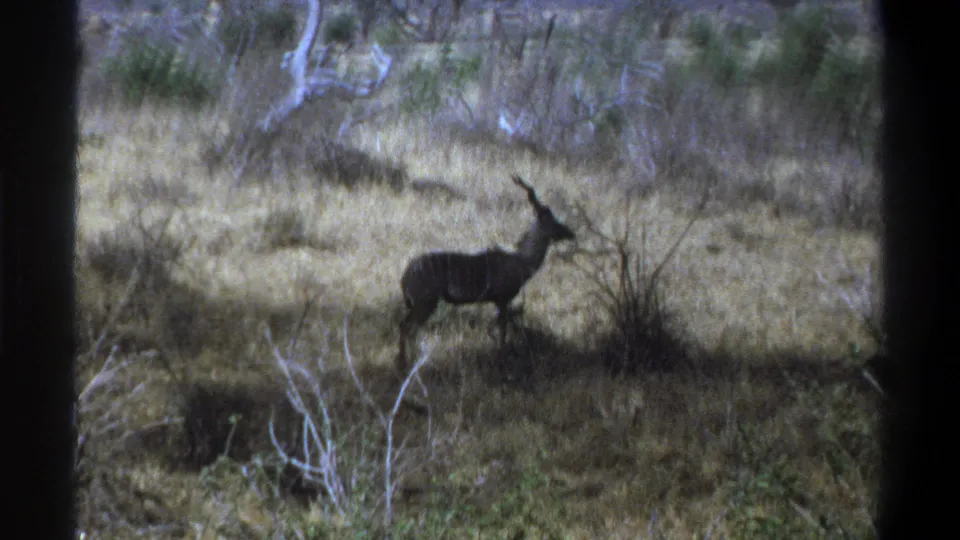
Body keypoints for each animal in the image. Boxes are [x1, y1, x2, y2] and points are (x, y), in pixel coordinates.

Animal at [395, 175, 576, 373]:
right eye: (552, 222)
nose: (571, 233)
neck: (520, 262)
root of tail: (405, 277)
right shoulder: (502, 299)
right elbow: (502, 329)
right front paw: (501, 357)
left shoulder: (498, 301)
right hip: (426, 302)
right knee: (407, 327)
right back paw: (407, 364)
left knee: (405, 325)